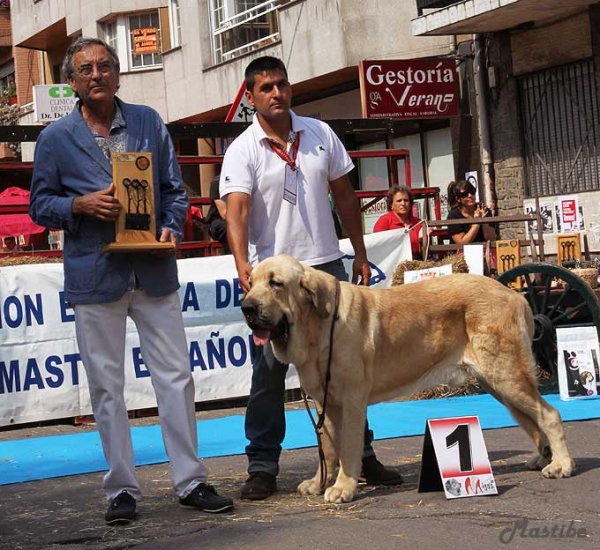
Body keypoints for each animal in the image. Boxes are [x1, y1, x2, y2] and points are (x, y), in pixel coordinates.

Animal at [241, 256, 576, 504]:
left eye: (276, 283)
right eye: (251, 283)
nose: (246, 307)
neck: (318, 326)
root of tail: (516, 296)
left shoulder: (351, 401)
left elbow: (348, 447)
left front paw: (343, 488)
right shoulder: (327, 402)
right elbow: (327, 447)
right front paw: (318, 482)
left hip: (506, 375)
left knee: (549, 414)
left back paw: (561, 465)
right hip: (498, 383)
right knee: (533, 419)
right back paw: (541, 457)